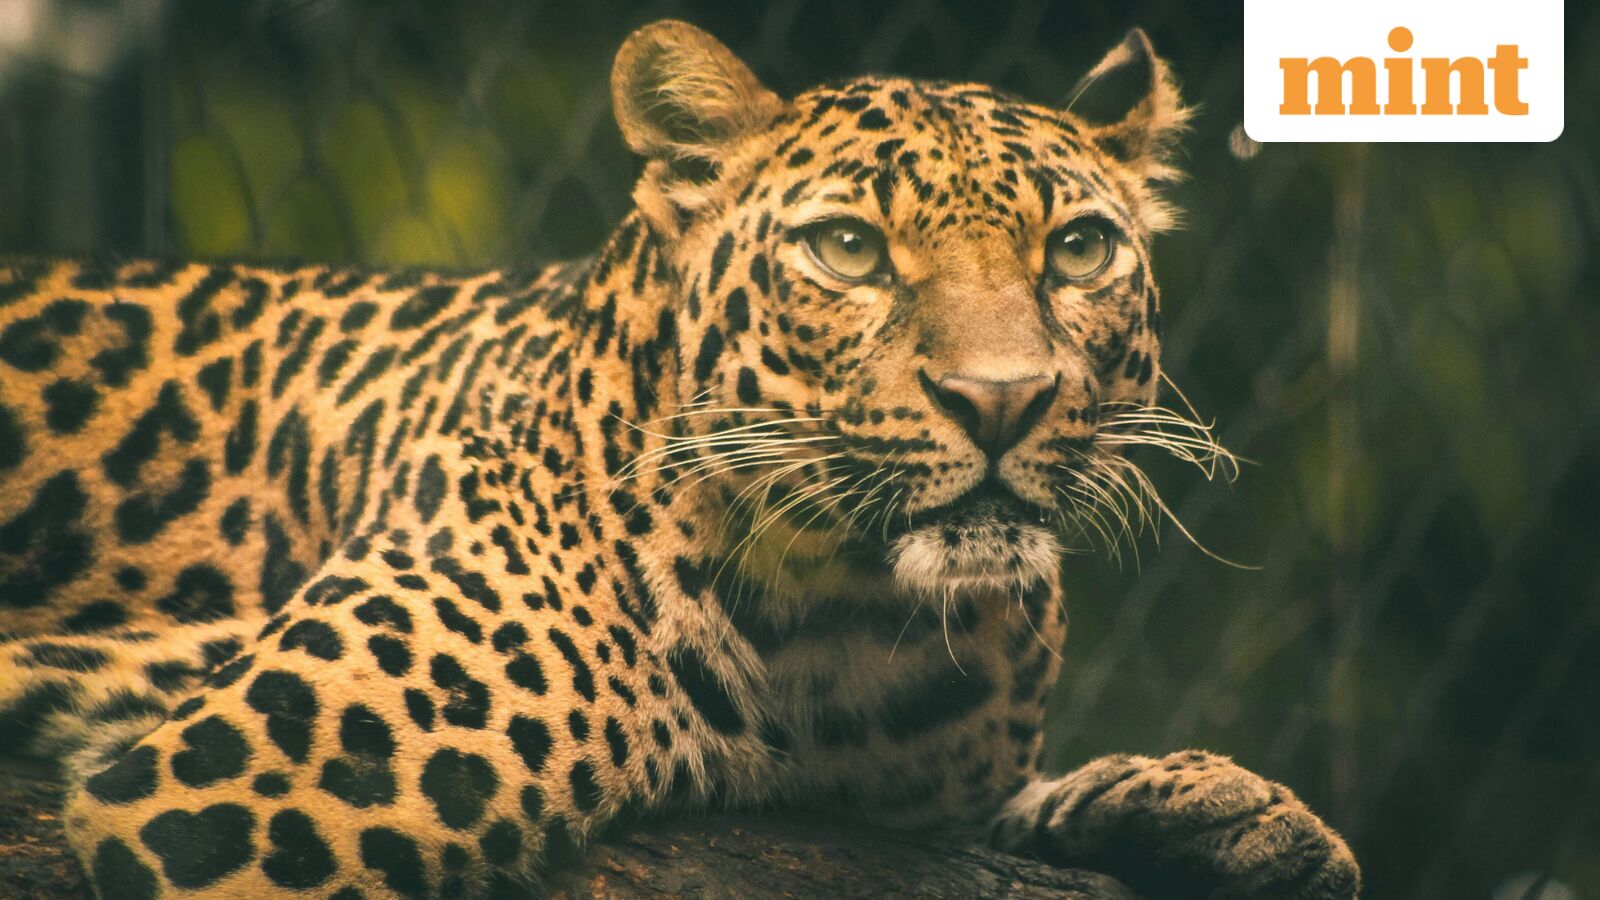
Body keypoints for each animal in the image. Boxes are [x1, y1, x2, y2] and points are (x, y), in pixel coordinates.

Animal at [0, 20, 1360, 899]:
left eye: (1078, 249)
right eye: (848, 249)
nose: (1001, 401)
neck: (847, 633)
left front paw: (1218, 808)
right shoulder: (234, 801)